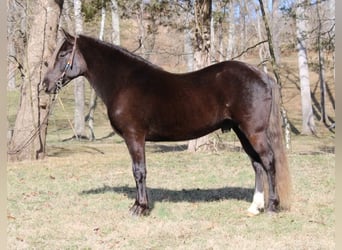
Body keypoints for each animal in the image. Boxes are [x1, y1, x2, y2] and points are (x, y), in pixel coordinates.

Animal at [43, 30, 292, 216]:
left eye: (64, 54)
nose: (45, 84)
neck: (124, 82)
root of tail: (261, 74)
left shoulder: (134, 136)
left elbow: (139, 171)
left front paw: (140, 208)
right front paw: (140, 205)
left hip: (254, 131)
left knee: (268, 161)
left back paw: (272, 206)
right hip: (242, 131)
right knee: (257, 164)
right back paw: (254, 207)